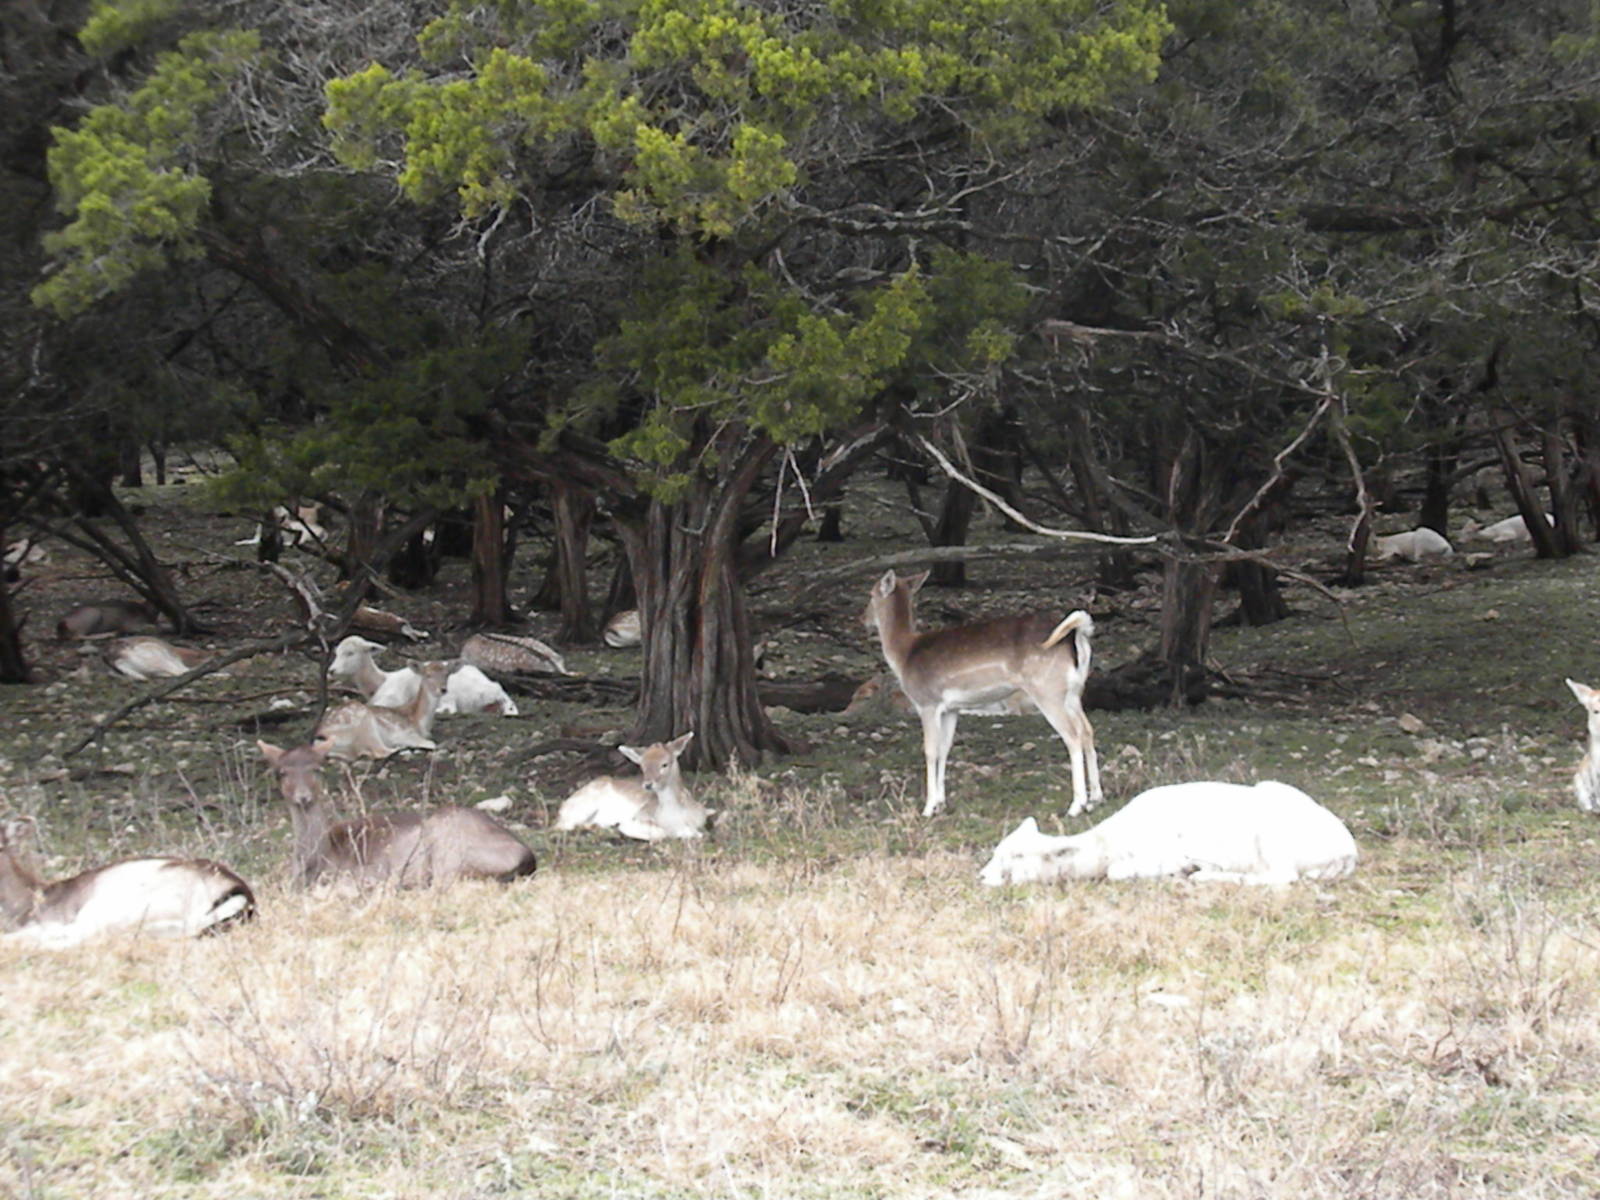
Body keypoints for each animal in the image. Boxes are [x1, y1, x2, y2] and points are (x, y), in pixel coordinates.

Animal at [257, 742, 537, 887]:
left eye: (317, 769)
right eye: (281, 772)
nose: (303, 797)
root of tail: (527, 855)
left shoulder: (368, 869)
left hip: (447, 846)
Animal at [313, 659, 452, 760]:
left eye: (446, 674)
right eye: (428, 675)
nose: (443, 689)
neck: (419, 721)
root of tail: (321, 736)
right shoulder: (403, 731)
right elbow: (431, 743)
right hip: (365, 722)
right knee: (380, 751)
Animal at [553, 732, 710, 841]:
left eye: (664, 764)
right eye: (642, 765)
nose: (648, 784)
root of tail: (562, 806)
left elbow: (699, 833)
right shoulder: (638, 816)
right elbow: (661, 833)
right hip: (582, 806)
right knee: (562, 826)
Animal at [863, 568, 1101, 818]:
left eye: (871, 594)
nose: (863, 619)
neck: (904, 656)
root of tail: (1076, 635)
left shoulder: (927, 702)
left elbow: (930, 751)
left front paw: (928, 808)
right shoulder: (950, 709)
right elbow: (944, 749)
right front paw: (941, 802)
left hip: (1047, 690)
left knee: (1072, 735)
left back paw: (1077, 805)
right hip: (1073, 692)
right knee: (1087, 730)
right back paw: (1096, 798)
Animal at [979, 781, 1358, 887]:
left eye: (1015, 857)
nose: (982, 876)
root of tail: (1348, 850)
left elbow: (1118, 873)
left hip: (1273, 839)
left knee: (1282, 877)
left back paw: (1206, 876)